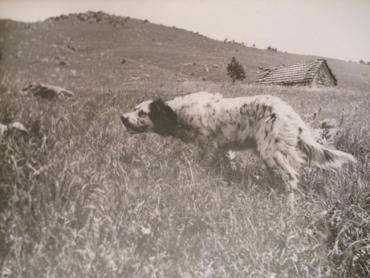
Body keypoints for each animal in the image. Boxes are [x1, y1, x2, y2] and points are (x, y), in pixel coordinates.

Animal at [121, 92, 356, 192]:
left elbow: (202, 164)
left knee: (291, 177)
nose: (122, 117)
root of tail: (292, 115)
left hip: (271, 152)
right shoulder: (224, 148)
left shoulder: (208, 145)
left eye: (142, 113)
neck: (179, 112)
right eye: (134, 108)